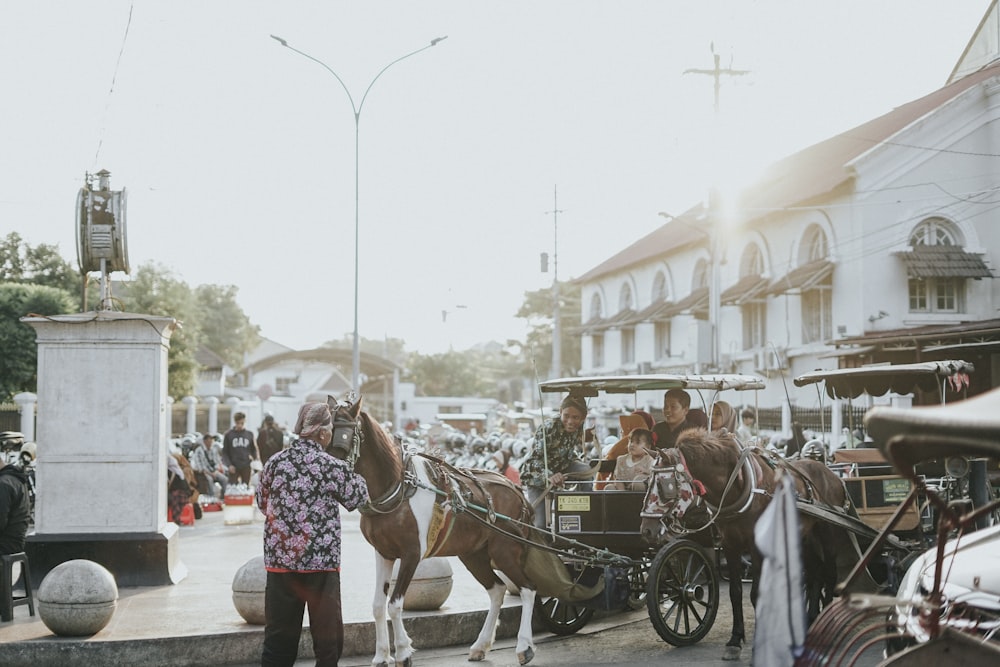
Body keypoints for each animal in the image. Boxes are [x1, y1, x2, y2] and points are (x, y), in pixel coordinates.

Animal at [328, 400, 540, 664]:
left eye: (344, 436)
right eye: (325, 432)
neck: (398, 487)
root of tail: (515, 488)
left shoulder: (412, 554)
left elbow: (394, 604)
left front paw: (403, 651)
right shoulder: (383, 553)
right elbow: (378, 605)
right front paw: (381, 656)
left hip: (505, 550)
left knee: (528, 589)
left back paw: (524, 645)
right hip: (473, 554)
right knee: (497, 590)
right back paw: (481, 645)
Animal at [636, 430, 848, 660]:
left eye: (666, 486)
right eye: (647, 482)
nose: (646, 530)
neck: (735, 488)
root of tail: (833, 475)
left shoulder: (756, 545)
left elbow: (756, 594)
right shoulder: (731, 545)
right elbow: (735, 593)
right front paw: (735, 640)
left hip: (827, 533)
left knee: (829, 574)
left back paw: (826, 625)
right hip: (805, 536)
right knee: (814, 573)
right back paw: (811, 621)